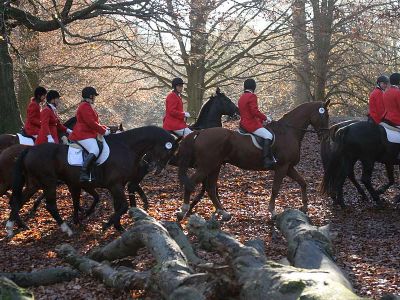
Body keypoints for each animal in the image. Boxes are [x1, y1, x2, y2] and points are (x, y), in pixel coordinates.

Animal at [5, 126, 178, 237]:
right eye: (168, 151)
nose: (157, 169)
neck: (126, 146)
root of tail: (29, 149)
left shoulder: (118, 185)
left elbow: (118, 206)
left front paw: (118, 227)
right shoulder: (115, 185)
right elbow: (123, 206)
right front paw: (107, 225)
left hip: (34, 183)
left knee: (18, 201)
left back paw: (10, 227)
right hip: (48, 182)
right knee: (50, 206)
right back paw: (66, 229)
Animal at [177, 101, 330, 220]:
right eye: (325, 115)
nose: (325, 136)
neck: (289, 131)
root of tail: (200, 132)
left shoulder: (289, 167)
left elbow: (303, 182)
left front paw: (305, 206)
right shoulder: (282, 167)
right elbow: (275, 188)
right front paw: (272, 212)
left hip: (215, 166)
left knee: (210, 188)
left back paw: (224, 213)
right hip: (206, 166)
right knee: (192, 184)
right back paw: (183, 210)